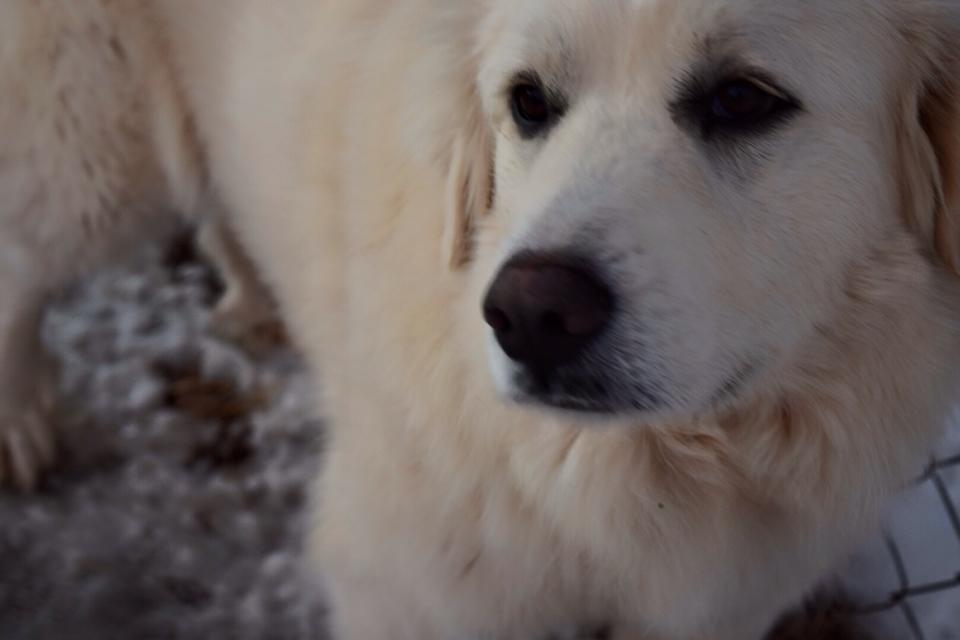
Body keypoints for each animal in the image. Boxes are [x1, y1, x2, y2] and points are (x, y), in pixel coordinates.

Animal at [5, 1, 960, 640]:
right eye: (530, 102)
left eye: (743, 99)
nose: (529, 314)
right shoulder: (411, 595)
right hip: (86, 150)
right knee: (21, 264)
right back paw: (22, 426)